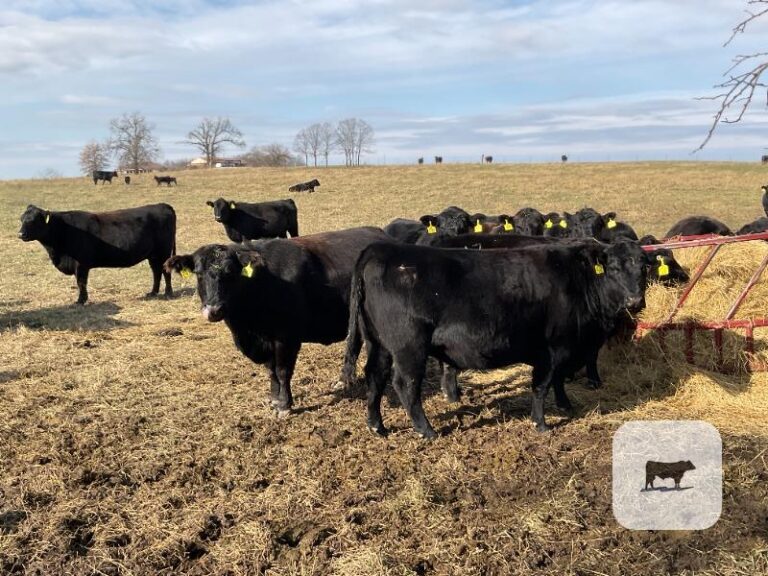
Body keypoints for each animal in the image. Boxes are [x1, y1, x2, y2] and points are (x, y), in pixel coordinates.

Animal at [18, 204, 176, 305]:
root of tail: (163, 205)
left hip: (163, 252)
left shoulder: (81, 264)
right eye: (21, 219)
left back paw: (168, 293)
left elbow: (81, 282)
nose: (20, 234)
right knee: (156, 272)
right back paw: (153, 293)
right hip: (153, 255)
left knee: (165, 271)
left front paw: (81, 301)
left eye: (33, 220)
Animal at [164, 227, 393, 416]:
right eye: (199, 274)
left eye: (231, 273)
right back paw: (343, 380)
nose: (214, 309)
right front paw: (274, 398)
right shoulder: (264, 340)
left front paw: (284, 405)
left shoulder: (286, 338)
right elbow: (270, 370)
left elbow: (283, 371)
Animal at [346, 239, 647, 437]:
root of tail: (381, 249)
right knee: (405, 384)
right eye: (614, 268)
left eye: (643, 268)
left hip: (378, 344)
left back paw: (377, 425)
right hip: (409, 348)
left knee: (375, 376)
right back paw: (426, 430)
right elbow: (542, 385)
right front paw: (541, 424)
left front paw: (565, 405)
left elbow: (558, 380)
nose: (635, 301)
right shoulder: (552, 349)